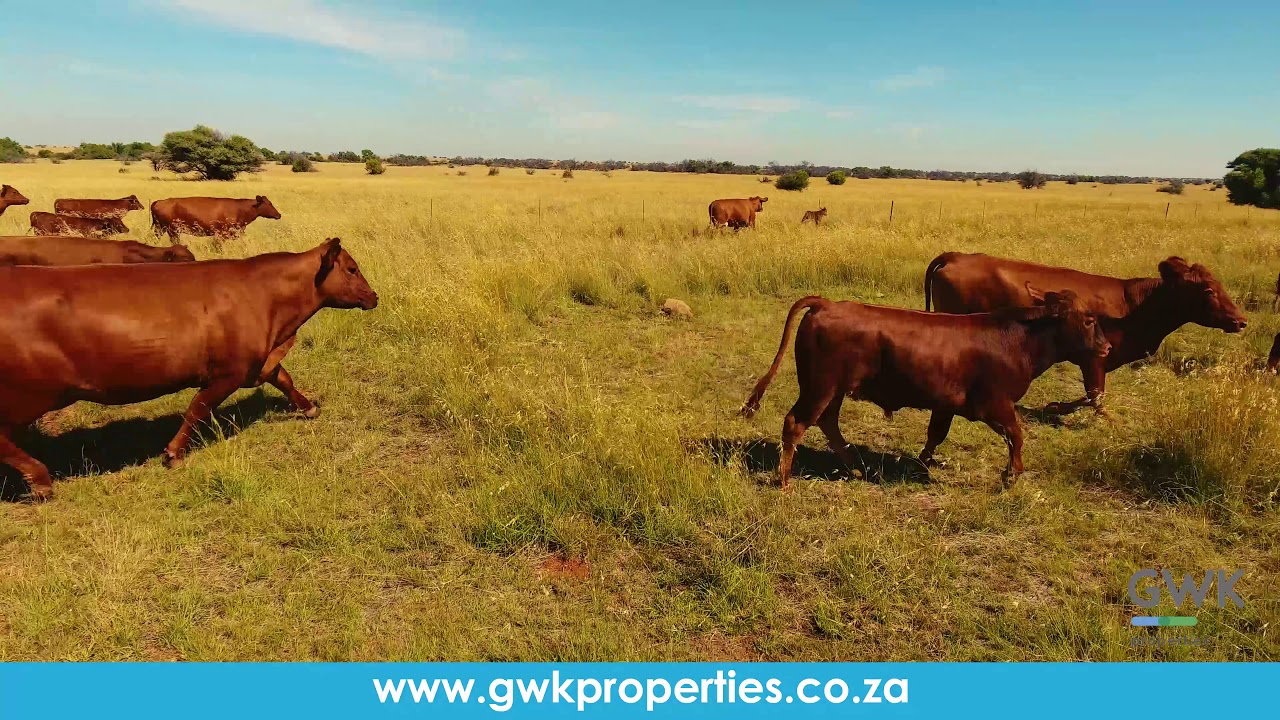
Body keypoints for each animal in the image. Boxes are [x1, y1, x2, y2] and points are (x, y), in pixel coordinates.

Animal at [0, 237, 376, 500]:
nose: (374, 296)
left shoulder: (259, 361)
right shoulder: (228, 372)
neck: (269, 302)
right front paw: (174, 453)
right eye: (352, 269)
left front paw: (309, 407)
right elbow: (198, 409)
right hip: (31, 394)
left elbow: (283, 378)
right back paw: (41, 481)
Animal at [150, 195, 281, 242]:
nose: (279, 215)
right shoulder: (220, 234)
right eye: (268, 204)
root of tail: (159, 201)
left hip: (161, 228)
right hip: (171, 230)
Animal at [740, 290, 1111, 490]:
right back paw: (785, 480)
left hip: (833, 390)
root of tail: (826, 303)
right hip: (820, 386)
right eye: (1090, 320)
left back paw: (856, 466)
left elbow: (936, 434)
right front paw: (1012, 475)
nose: (1106, 348)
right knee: (796, 423)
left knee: (827, 423)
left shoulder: (946, 404)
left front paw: (922, 462)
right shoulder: (995, 403)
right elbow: (1016, 435)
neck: (1016, 339)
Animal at [923, 252, 1247, 412]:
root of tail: (957, 256)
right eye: (1208, 291)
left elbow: (1094, 397)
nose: (1242, 320)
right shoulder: (1095, 360)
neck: (1135, 306)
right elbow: (1096, 398)